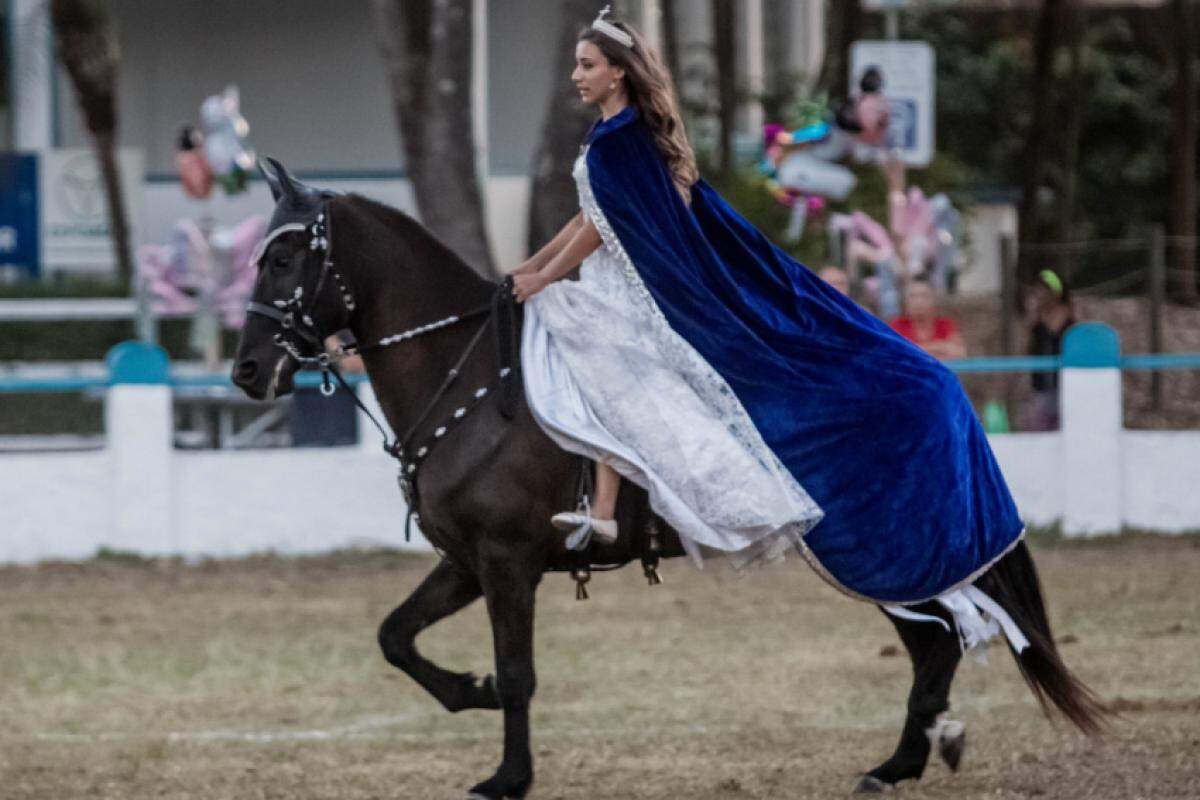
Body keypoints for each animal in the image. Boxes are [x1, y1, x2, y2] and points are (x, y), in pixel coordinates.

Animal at [229, 163, 1099, 800]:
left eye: (284, 259)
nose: (245, 371)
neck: (470, 377)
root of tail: (941, 377)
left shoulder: (507, 564)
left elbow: (517, 674)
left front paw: (508, 776)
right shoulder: (465, 562)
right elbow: (395, 637)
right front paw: (468, 692)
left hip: (890, 554)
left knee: (941, 640)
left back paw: (908, 757)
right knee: (936, 643)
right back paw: (909, 758)